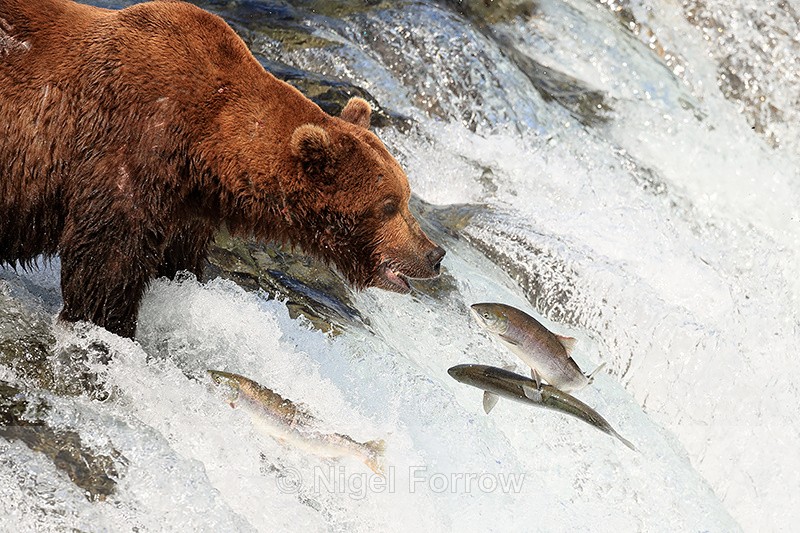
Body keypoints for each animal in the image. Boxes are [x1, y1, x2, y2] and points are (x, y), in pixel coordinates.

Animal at [0, 0, 445, 338]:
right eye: (388, 205)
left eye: (406, 197)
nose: (434, 254)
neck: (203, 146)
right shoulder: (128, 149)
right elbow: (106, 263)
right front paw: (108, 326)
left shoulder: (182, 203)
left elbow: (177, 260)